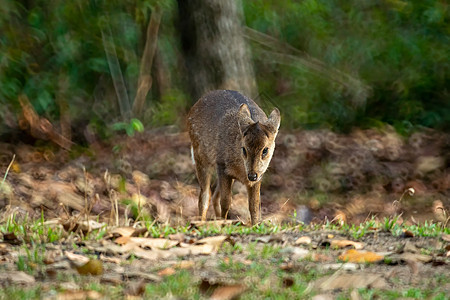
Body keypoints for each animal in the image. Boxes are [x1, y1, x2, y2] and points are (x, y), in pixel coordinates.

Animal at [185, 89, 278, 225]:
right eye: (243, 148)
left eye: (265, 150)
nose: (252, 175)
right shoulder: (221, 165)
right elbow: (226, 201)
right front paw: (224, 222)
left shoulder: (259, 176)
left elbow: (254, 206)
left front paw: (255, 225)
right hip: (200, 156)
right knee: (205, 195)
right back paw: (203, 221)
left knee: (214, 195)